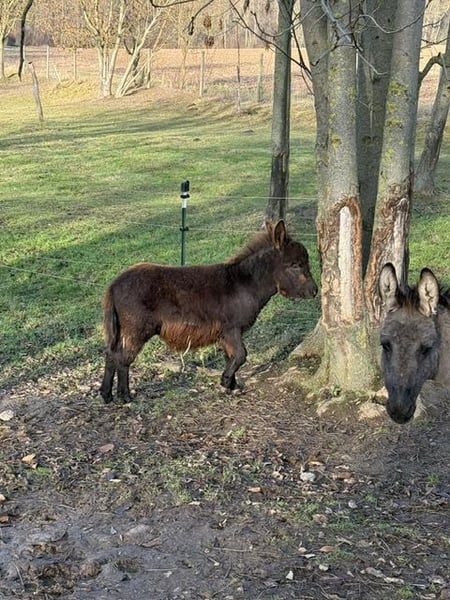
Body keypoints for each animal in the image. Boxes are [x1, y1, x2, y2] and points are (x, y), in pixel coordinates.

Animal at [100, 220, 318, 403]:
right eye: (295, 265)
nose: (315, 291)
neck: (246, 283)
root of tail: (113, 284)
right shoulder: (231, 328)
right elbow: (241, 355)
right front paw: (226, 381)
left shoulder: (225, 334)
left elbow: (231, 356)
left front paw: (232, 385)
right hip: (137, 330)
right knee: (123, 359)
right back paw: (124, 396)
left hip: (123, 330)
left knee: (111, 354)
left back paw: (106, 395)